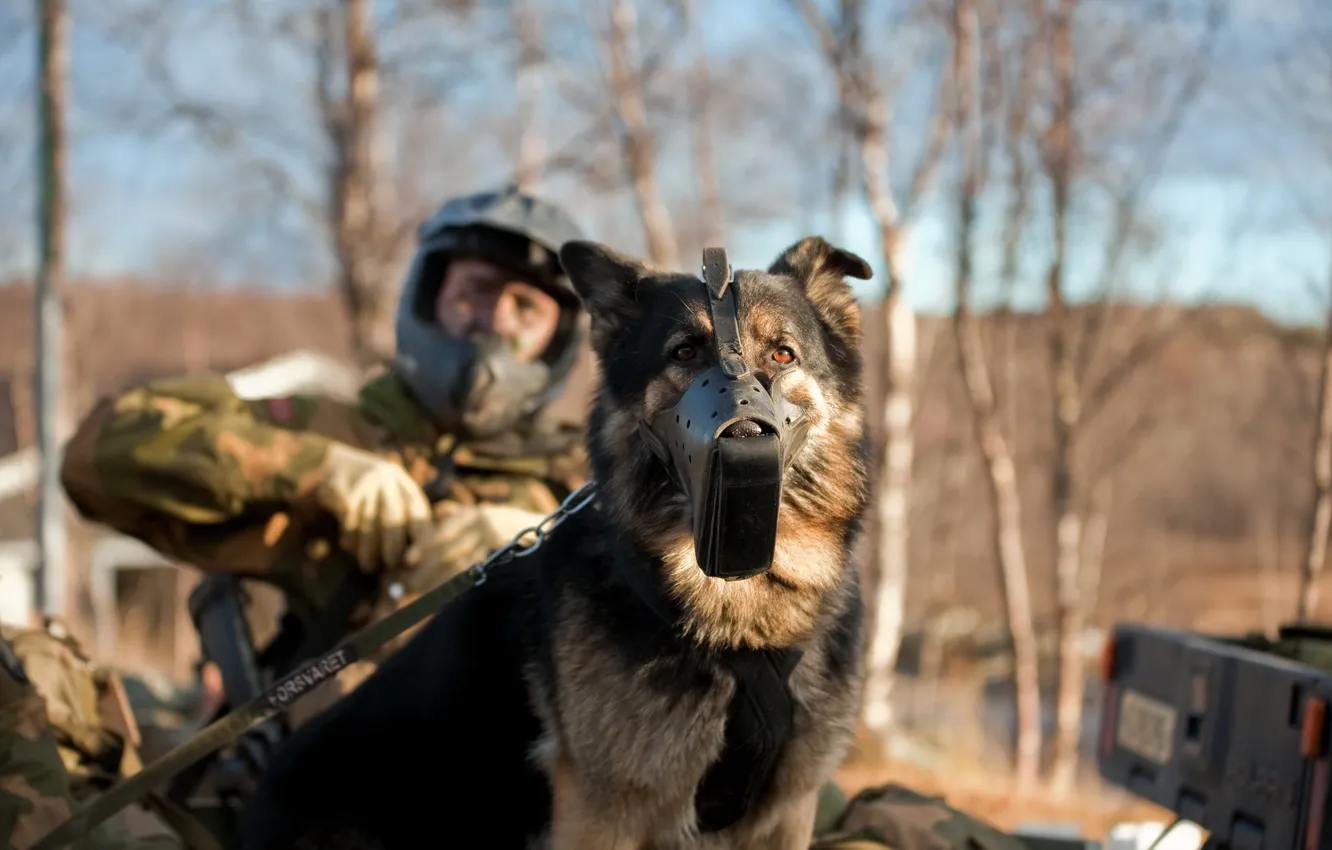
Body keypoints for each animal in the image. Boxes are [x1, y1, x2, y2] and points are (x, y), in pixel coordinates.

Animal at [231, 238, 873, 850]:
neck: (738, 622)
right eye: (685, 353)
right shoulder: (600, 814)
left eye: (783, 354)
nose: (741, 443)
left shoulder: (787, 815)